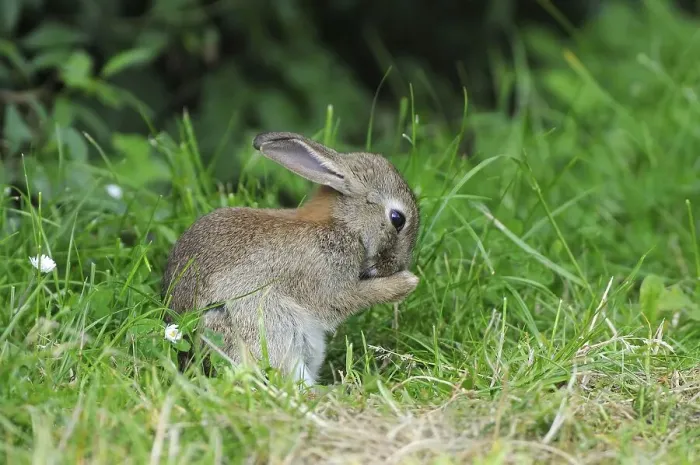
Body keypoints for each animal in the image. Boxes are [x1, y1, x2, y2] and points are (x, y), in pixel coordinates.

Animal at [161, 131, 420, 386]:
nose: (397, 265)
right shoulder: (325, 282)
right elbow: (349, 298)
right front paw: (407, 282)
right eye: (397, 219)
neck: (342, 224)